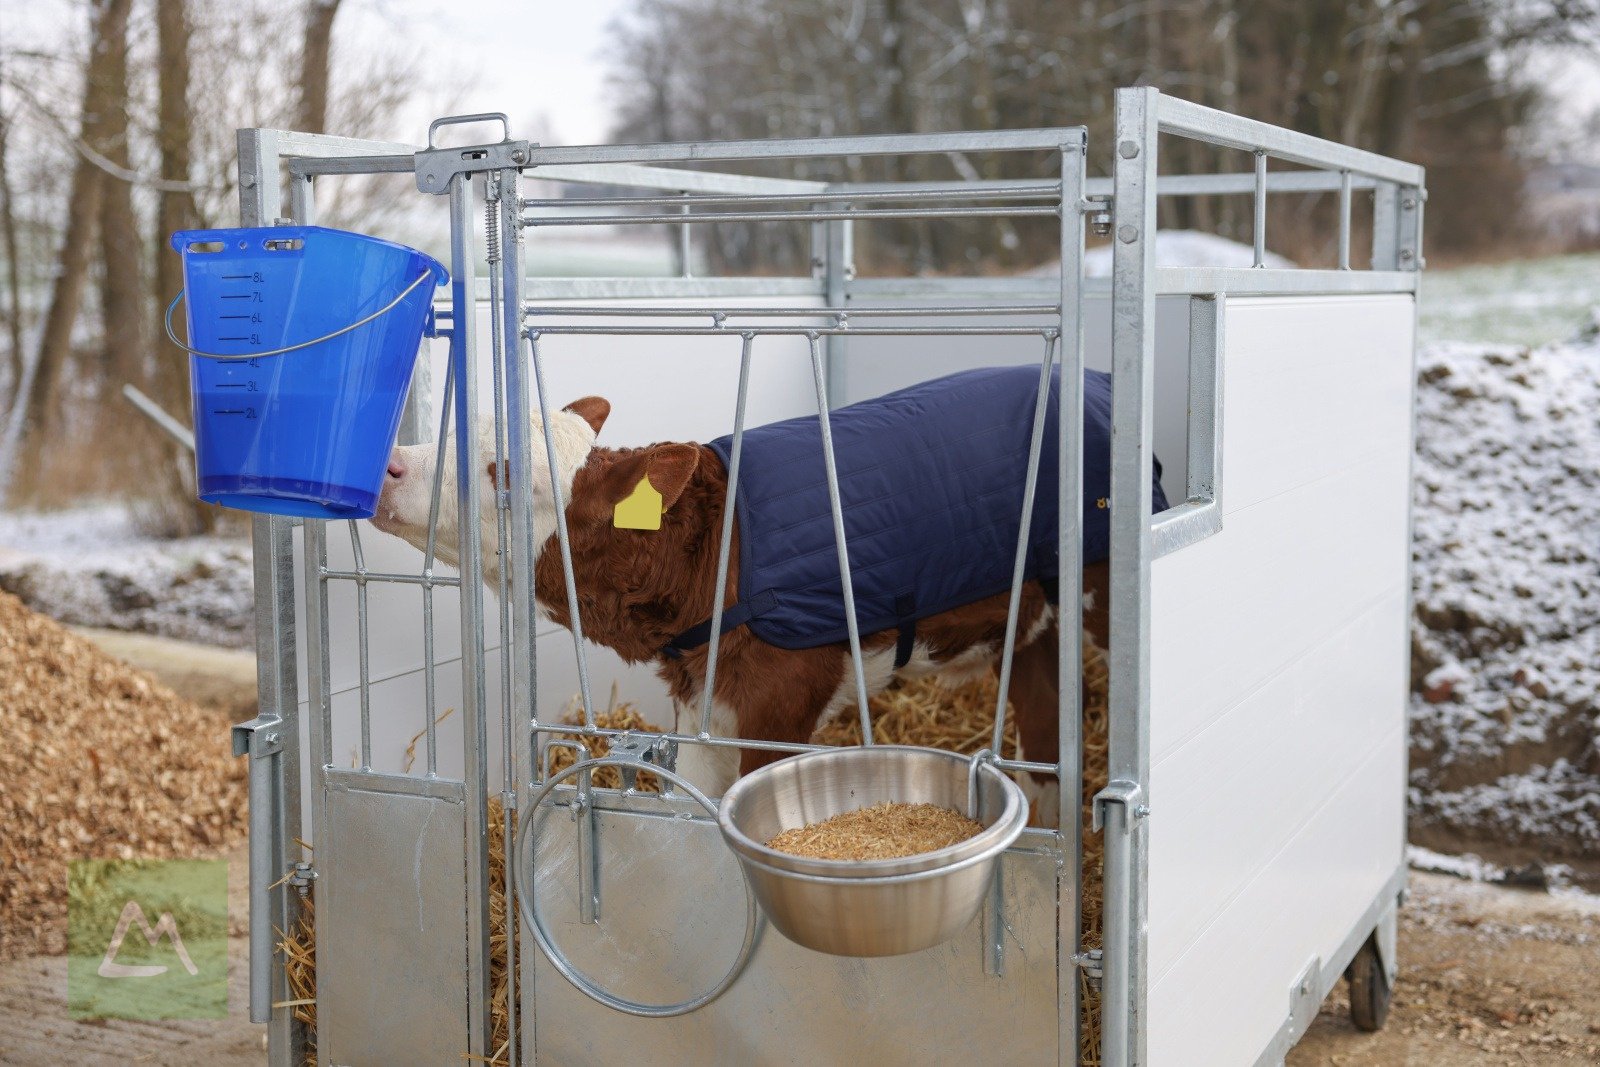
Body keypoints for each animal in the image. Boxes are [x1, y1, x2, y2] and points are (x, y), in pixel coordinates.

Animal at [369, 396, 1107, 812]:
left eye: (506, 471)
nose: (388, 466)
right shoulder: (706, 700)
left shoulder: (782, 699)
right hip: (1036, 627)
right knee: (1046, 720)